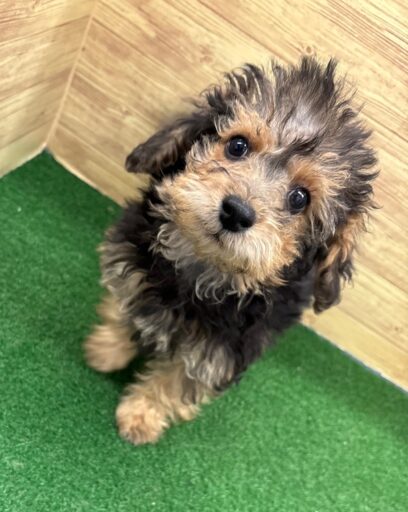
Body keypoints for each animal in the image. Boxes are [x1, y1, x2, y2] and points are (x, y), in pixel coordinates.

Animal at [84, 57, 378, 444]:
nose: (237, 212)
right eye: (237, 145)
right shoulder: (129, 263)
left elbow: (177, 381)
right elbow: (124, 308)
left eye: (300, 198)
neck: (203, 270)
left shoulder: (223, 350)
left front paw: (141, 415)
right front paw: (107, 350)